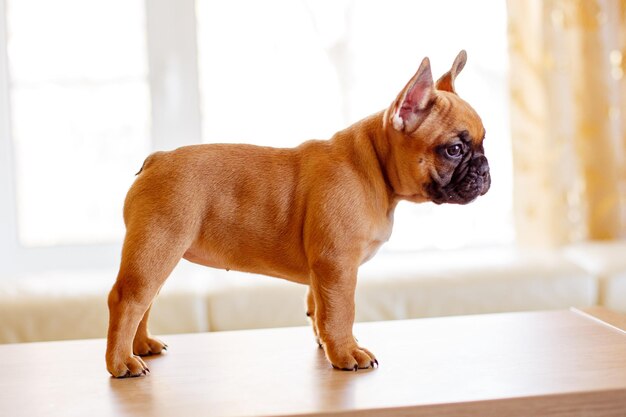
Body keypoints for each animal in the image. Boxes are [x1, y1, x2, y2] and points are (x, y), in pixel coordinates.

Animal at [106, 49, 488, 376]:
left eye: (485, 142)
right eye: (454, 149)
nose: (485, 169)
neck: (374, 165)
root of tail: (156, 160)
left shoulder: (323, 271)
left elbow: (319, 309)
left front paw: (331, 346)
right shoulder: (337, 265)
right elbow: (340, 312)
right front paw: (347, 353)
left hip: (160, 254)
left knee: (145, 302)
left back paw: (142, 346)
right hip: (157, 248)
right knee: (128, 300)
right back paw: (121, 363)